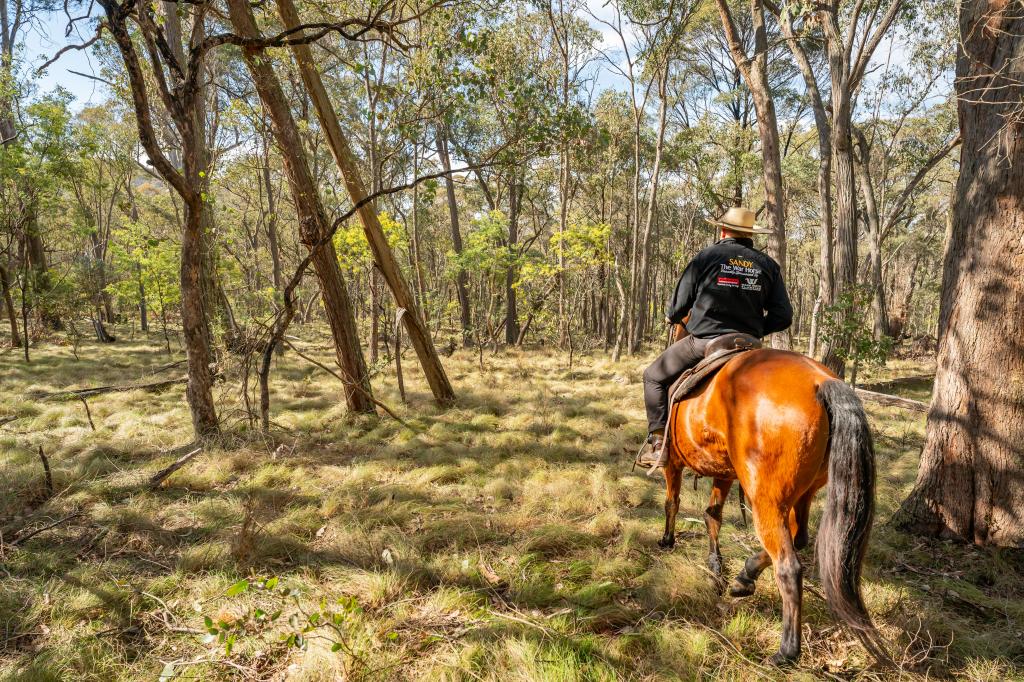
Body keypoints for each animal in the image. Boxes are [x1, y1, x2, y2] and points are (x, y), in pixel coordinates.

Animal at [659, 342, 892, 659]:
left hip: (765, 499)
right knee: (799, 537)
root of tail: (821, 381)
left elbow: (673, 502)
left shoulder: (672, 461)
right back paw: (745, 577)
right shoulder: (725, 472)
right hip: (802, 493)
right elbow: (712, 515)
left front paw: (668, 540)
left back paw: (786, 651)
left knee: (788, 565)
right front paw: (716, 566)